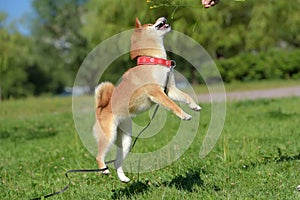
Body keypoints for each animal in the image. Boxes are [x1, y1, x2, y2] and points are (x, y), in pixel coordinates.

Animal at [93, 17, 202, 183]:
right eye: (150, 24)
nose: (164, 18)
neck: (153, 60)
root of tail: (100, 109)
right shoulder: (157, 92)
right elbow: (173, 105)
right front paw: (184, 115)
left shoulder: (170, 89)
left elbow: (185, 97)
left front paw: (194, 106)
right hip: (109, 135)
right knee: (99, 157)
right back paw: (104, 169)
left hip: (125, 140)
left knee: (117, 162)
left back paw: (123, 178)